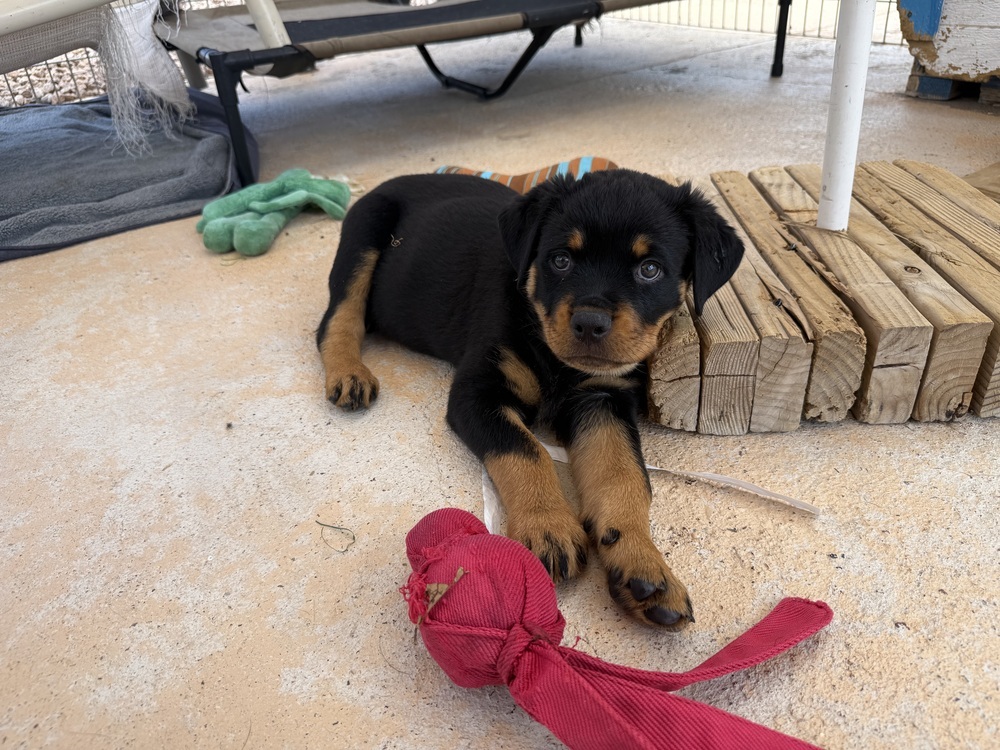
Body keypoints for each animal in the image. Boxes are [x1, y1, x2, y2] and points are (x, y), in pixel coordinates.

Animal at [317, 169, 743, 629]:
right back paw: (349, 374)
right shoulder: (477, 393)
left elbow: (624, 475)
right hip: (363, 237)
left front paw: (643, 564)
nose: (589, 323)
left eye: (650, 269)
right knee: (338, 318)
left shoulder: (602, 400)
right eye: (560, 260)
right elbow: (526, 450)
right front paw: (548, 526)